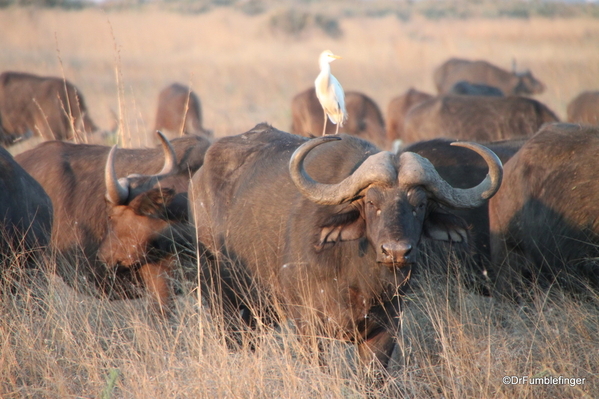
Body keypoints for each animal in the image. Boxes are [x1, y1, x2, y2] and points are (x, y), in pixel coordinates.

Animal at [191, 123, 502, 370]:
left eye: (420, 205)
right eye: (371, 202)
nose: (396, 252)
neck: (358, 278)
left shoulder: (386, 330)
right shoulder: (309, 326)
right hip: (224, 300)